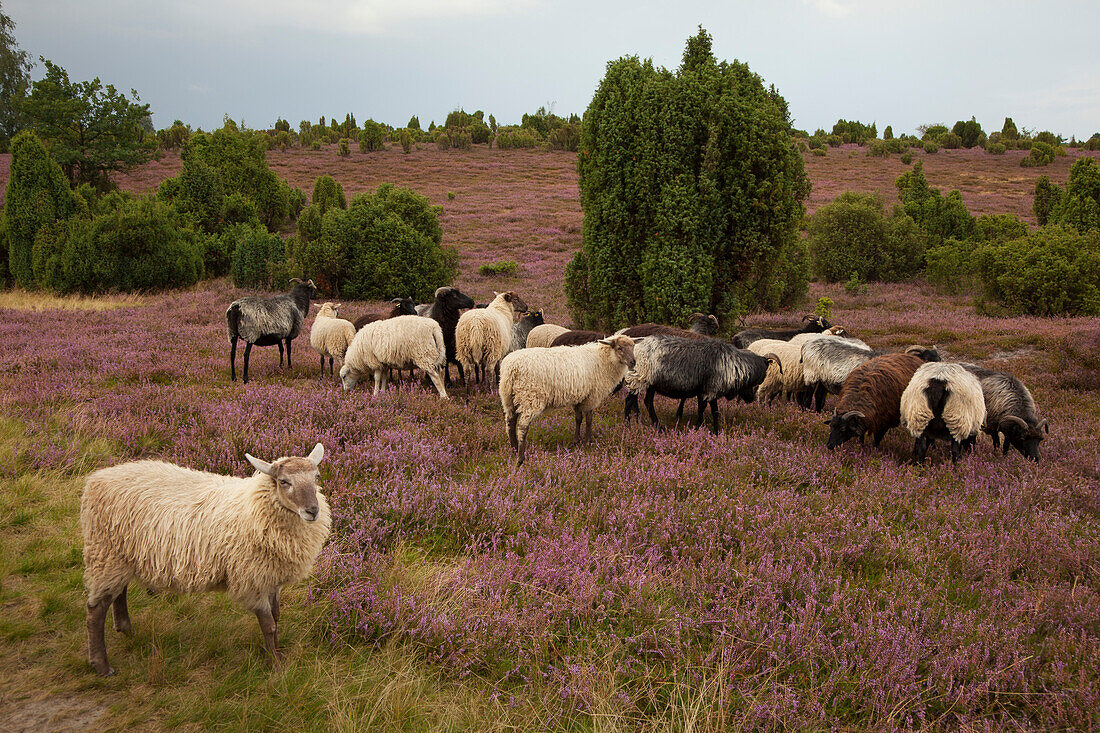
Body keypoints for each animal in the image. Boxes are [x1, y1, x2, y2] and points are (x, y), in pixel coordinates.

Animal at [81, 440, 330, 673]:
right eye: (284, 481)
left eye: (316, 477)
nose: (312, 510)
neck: (254, 505)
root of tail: (98, 478)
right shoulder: (252, 579)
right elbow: (268, 624)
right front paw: (276, 664)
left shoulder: (272, 577)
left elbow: (277, 618)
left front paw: (277, 653)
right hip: (104, 551)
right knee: (95, 609)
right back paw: (101, 665)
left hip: (121, 554)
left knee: (118, 592)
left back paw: (126, 630)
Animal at [499, 334, 638, 464]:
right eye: (619, 348)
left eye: (633, 347)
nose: (633, 362)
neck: (603, 359)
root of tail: (511, 368)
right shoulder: (592, 397)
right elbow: (589, 419)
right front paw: (588, 441)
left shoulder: (580, 397)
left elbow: (578, 419)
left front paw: (576, 441)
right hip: (531, 397)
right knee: (522, 427)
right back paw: (521, 458)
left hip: (508, 397)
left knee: (510, 423)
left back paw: (514, 449)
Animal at [624, 334, 778, 431]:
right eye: (764, 373)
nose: (751, 399)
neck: (735, 366)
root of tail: (636, 346)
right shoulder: (711, 390)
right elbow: (709, 410)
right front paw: (708, 430)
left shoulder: (704, 391)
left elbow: (708, 410)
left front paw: (708, 429)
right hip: (640, 378)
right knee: (629, 400)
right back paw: (628, 425)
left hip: (650, 383)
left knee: (647, 402)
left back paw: (657, 426)